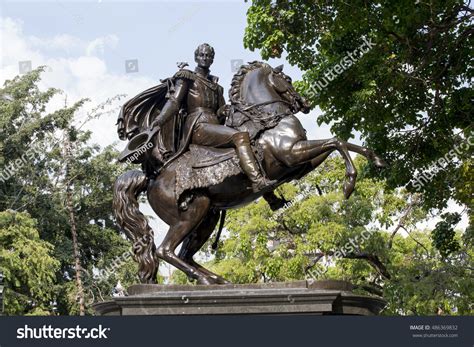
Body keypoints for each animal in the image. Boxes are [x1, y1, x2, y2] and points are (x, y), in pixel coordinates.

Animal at [113, 61, 386, 286]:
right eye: (287, 79)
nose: (305, 104)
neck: (269, 120)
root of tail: (151, 179)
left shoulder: (300, 164)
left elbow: (340, 141)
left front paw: (376, 158)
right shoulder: (293, 154)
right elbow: (335, 142)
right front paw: (349, 184)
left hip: (208, 216)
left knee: (185, 254)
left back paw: (218, 279)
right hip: (191, 212)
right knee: (165, 250)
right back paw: (207, 280)